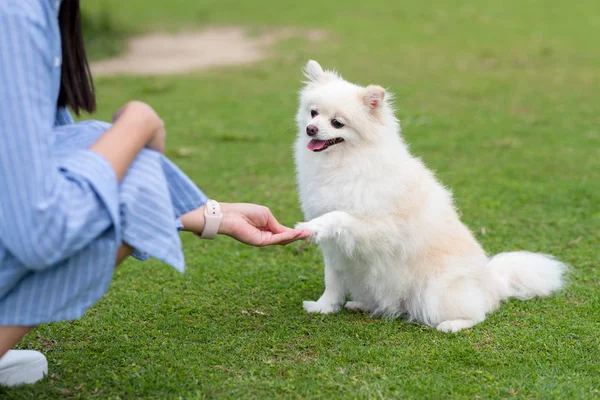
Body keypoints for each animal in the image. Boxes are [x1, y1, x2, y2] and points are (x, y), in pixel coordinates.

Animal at [296, 60, 568, 334]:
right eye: (313, 113)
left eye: (337, 123)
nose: (311, 129)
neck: (344, 162)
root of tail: (491, 282)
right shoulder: (334, 251)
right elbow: (332, 281)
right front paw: (324, 307)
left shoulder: (377, 227)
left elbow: (338, 216)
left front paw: (314, 226)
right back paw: (361, 304)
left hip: (434, 292)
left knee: (478, 313)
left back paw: (452, 325)